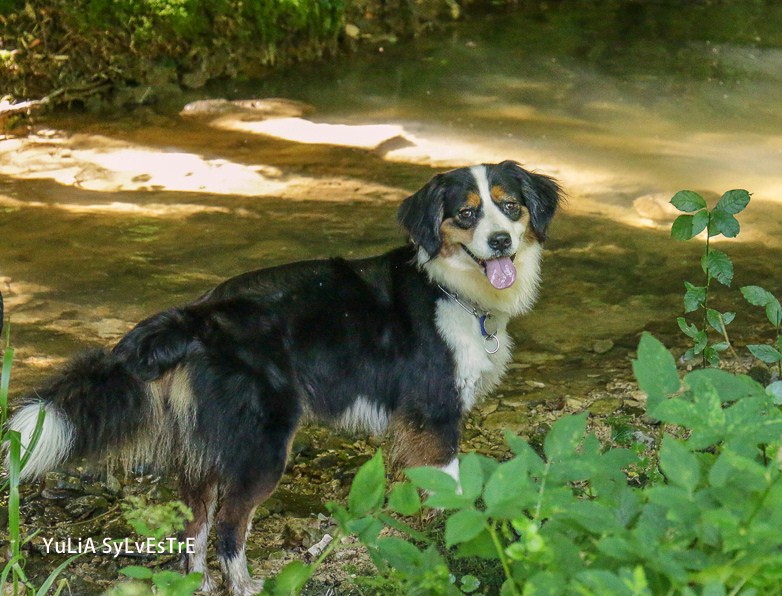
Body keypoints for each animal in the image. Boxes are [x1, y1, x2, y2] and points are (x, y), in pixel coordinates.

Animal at [4, 161, 556, 592]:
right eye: (466, 213)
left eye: (509, 207)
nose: (501, 242)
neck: (451, 287)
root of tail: (200, 314)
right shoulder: (435, 414)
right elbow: (451, 489)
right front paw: (460, 539)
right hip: (262, 446)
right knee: (229, 526)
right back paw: (245, 586)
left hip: (207, 448)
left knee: (195, 524)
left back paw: (199, 582)